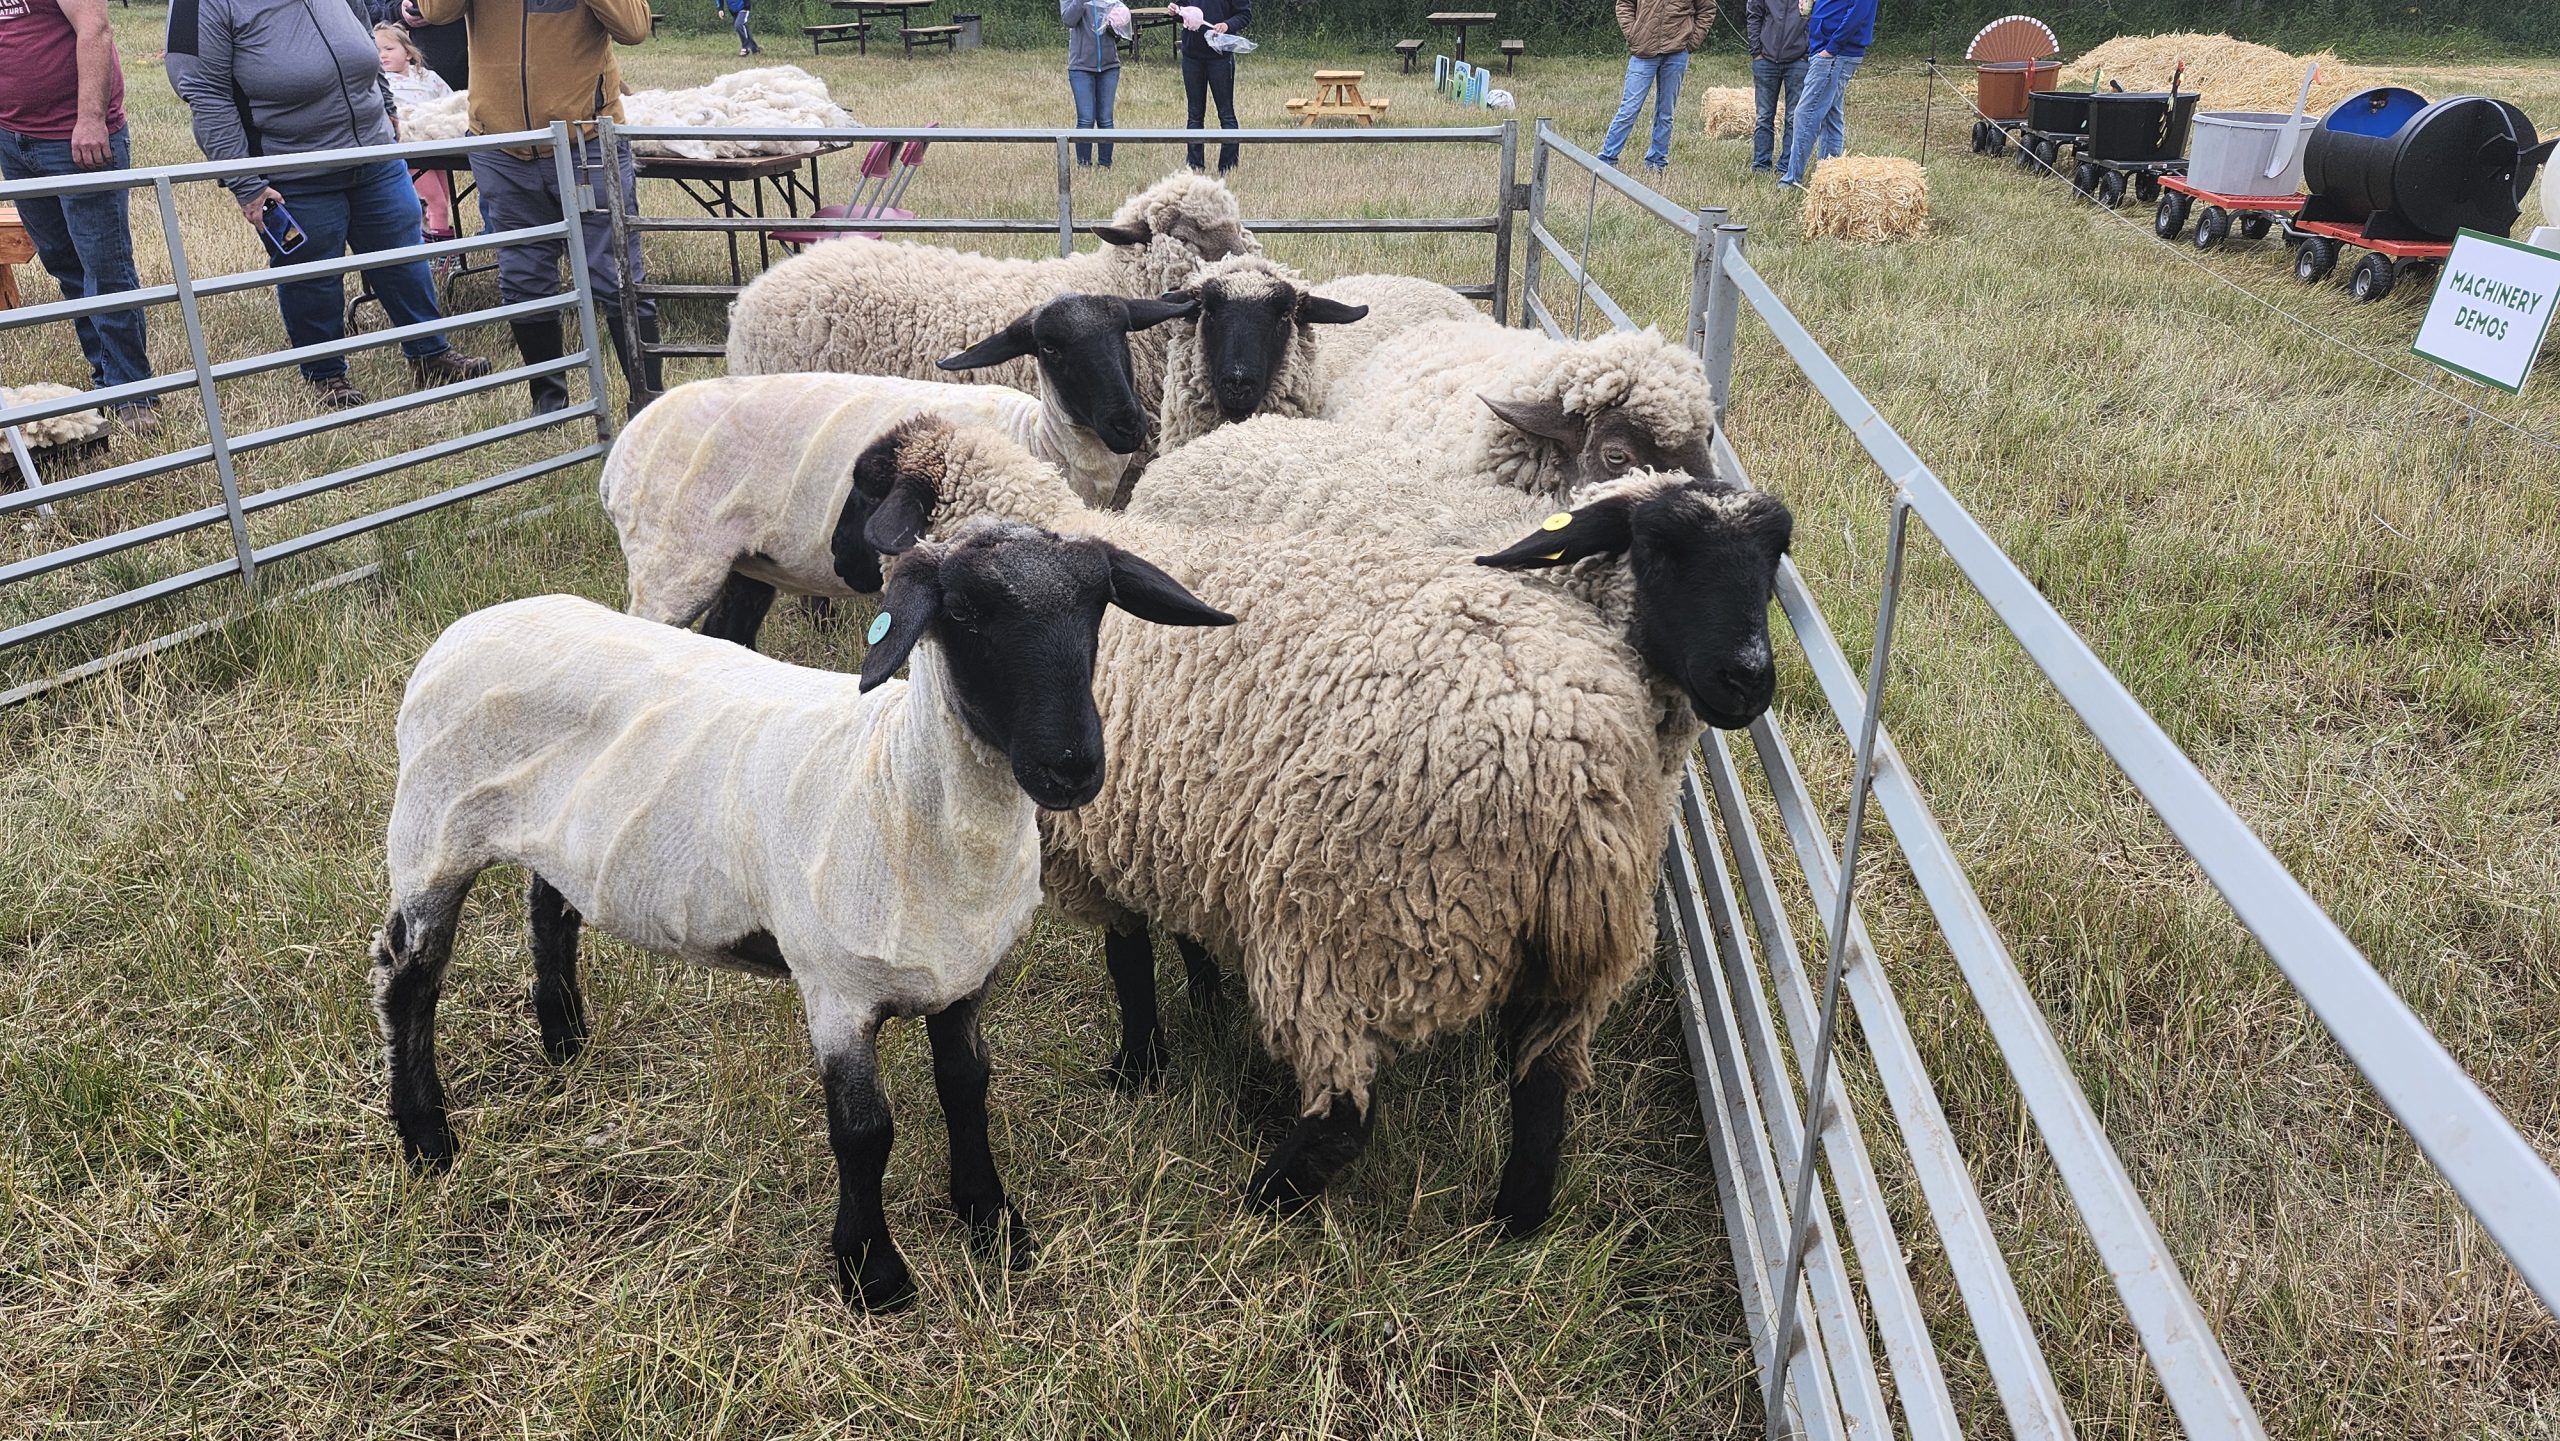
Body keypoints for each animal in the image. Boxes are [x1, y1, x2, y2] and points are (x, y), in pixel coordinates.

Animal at [369, 518, 1235, 1310]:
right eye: (967, 611)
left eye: (1098, 604)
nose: (1073, 767)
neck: (898, 786)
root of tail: (470, 626)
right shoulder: (836, 990)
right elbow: (864, 1133)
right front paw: (873, 1272)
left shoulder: (962, 976)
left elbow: (967, 1086)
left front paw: (992, 1220)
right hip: (432, 833)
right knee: (411, 979)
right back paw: (426, 1136)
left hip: (564, 835)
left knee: (551, 909)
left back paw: (564, 1037)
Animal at [603, 295, 1198, 647]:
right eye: (1050, 347)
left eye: (1122, 335)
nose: (1127, 426)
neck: (1039, 437)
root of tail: (619, 456)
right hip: (671, 566)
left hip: (748, 565)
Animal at [842, 415, 1685, 1237]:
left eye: (867, 486)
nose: (844, 563)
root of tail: (1580, 765)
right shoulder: (1176, 825)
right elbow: (1176, 936)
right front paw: (1203, 997)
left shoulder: (1108, 841)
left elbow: (1127, 960)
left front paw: (1137, 1067)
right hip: (1571, 955)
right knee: (1544, 1088)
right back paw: (1514, 1221)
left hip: (1351, 926)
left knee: (1344, 1114)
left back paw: (1262, 1200)